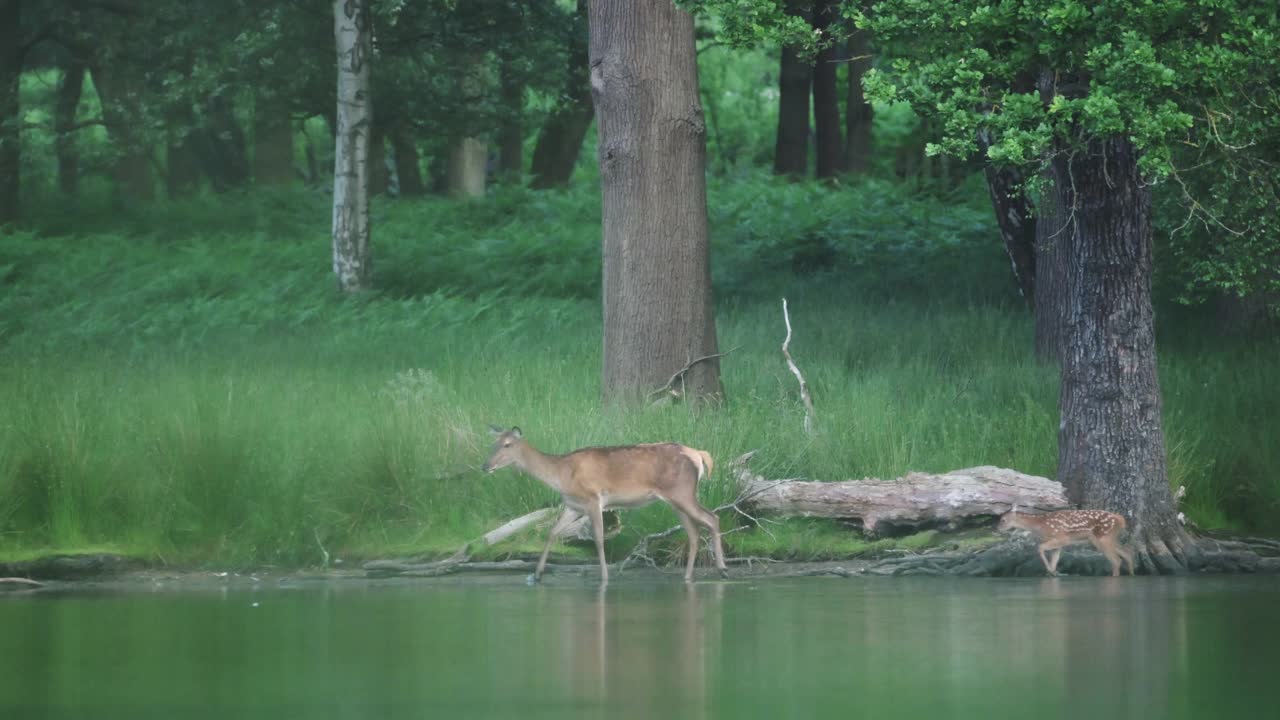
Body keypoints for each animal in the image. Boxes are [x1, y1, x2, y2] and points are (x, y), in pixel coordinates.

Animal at [481, 425, 732, 584]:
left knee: (712, 518)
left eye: (507, 444)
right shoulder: (573, 505)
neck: (561, 475)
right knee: (694, 531)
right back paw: (689, 576)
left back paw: (723, 569)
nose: (485, 466)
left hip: (682, 492)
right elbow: (552, 532)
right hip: (676, 500)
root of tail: (699, 454)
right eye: (493, 444)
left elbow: (599, 538)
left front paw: (604, 577)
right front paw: (536, 575)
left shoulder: (594, 499)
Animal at [993, 504, 1136, 576]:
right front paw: (1053, 572)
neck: (1040, 525)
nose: (997, 528)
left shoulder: (1062, 538)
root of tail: (1119, 519)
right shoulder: (1058, 544)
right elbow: (1054, 560)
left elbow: (1039, 547)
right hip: (1108, 538)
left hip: (1102, 537)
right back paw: (1132, 574)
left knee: (1116, 560)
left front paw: (1051, 571)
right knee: (1127, 552)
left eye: (1003, 520)